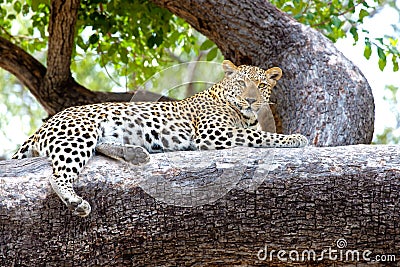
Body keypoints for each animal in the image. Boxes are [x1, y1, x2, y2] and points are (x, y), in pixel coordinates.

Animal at [11, 60, 306, 218]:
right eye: (242, 84)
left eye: (262, 85)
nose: (251, 100)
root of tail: (46, 123)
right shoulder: (213, 132)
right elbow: (263, 136)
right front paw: (296, 138)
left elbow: (259, 133)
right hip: (79, 133)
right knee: (57, 174)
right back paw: (75, 201)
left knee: (101, 147)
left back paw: (136, 153)